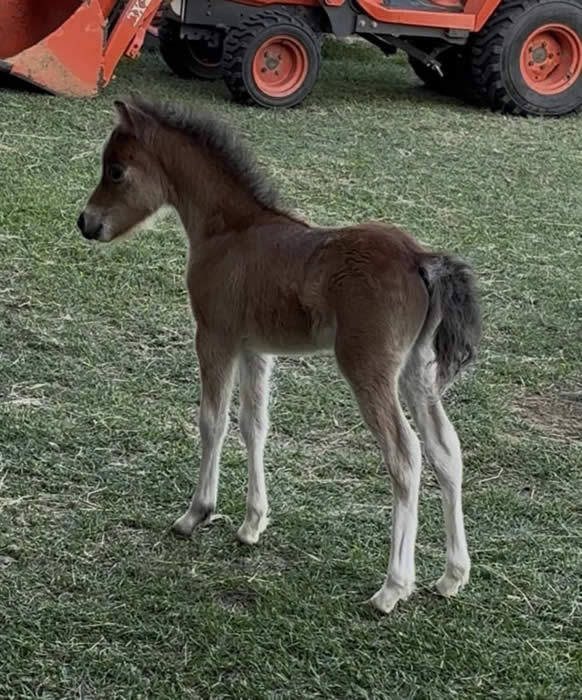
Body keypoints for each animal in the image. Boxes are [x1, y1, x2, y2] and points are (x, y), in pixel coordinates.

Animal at [77, 98, 481, 614]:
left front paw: (196, 514)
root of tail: (421, 259)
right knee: (446, 450)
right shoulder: (256, 349)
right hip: (417, 373)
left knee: (405, 455)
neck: (230, 230)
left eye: (115, 170)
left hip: (368, 369)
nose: (85, 222)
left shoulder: (215, 337)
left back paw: (392, 587)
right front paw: (252, 524)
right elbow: (255, 425)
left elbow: (212, 421)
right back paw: (452, 576)